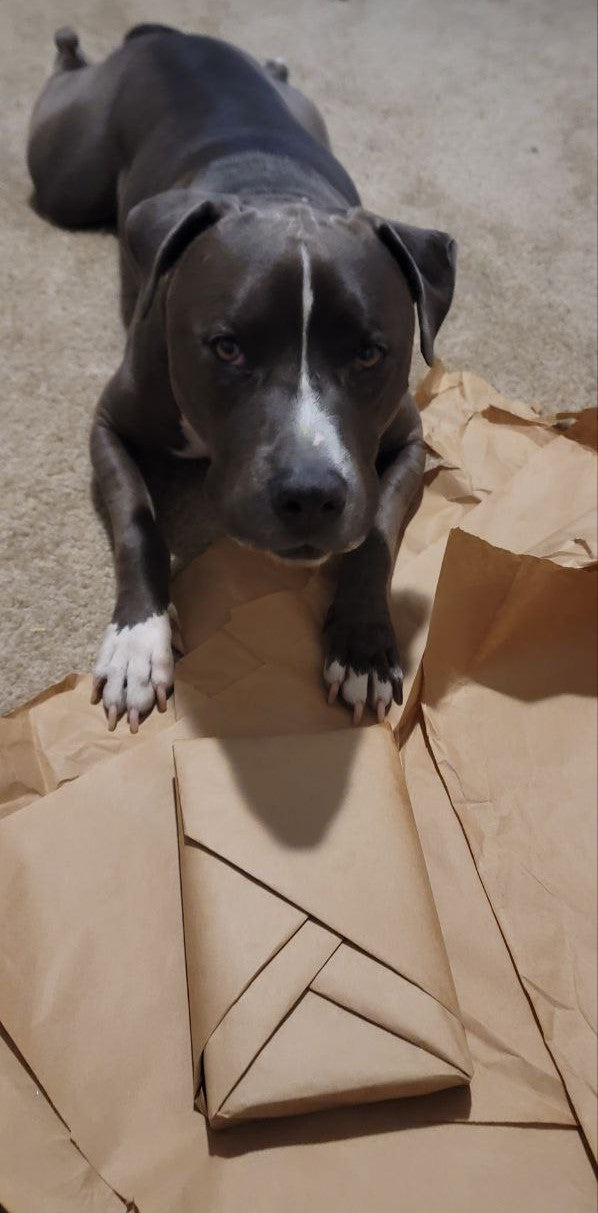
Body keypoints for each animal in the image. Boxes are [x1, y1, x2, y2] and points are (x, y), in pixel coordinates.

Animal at [27, 23, 456, 732]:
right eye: (226, 349)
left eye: (370, 354)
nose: (311, 496)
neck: (278, 197)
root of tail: (172, 34)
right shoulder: (109, 425)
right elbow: (137, 520)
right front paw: (138, 642)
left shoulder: (408, 440)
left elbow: (377, 533)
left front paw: (363, 645)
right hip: (66, 175)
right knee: (64, 78)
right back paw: (68, 46)